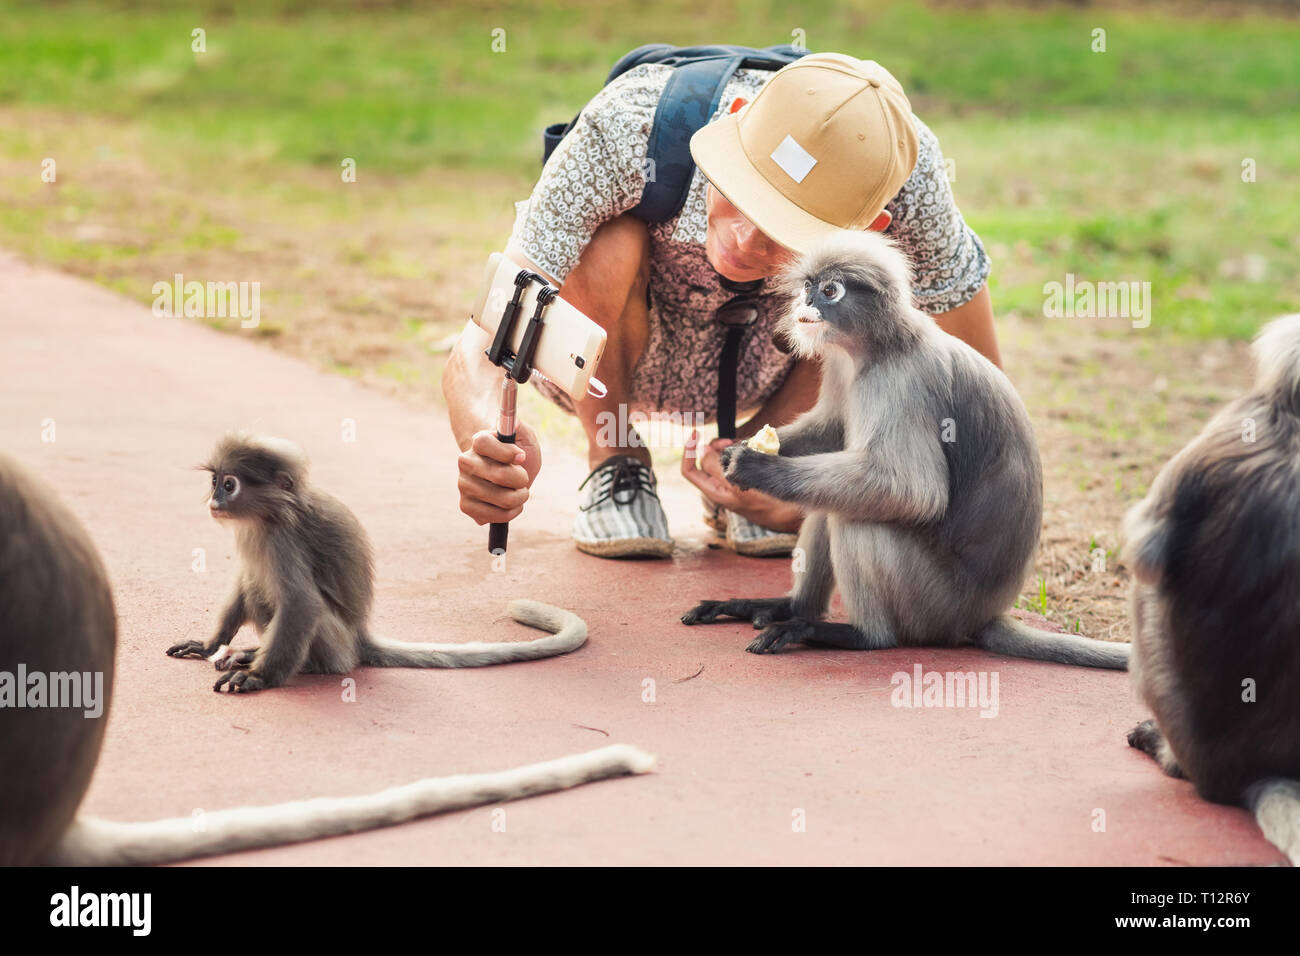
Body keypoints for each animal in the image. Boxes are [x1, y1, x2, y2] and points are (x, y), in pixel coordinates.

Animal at [167, 434, 590, 697]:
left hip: (335, 644)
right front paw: (211, 645)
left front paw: (258, 677)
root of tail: (358, 637)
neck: (269, 515)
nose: (215, 502)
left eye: (230, 485)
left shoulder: (281, 540)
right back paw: (247, 651)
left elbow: (303, 603)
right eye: (215, 482)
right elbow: (244, 581)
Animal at [681, 227, 1128, 671]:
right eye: (809, 287)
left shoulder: (903, 381)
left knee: (857, 519)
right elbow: (833, 430)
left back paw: (855, 634)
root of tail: (982, 615)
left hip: (934, 603)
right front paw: (734, 451)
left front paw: (754, 466)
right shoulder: (841, 363)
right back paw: (789, 608)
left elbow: (914, 491)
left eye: (830, 290)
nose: (805, 303)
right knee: (831, 502)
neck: (876, 346)